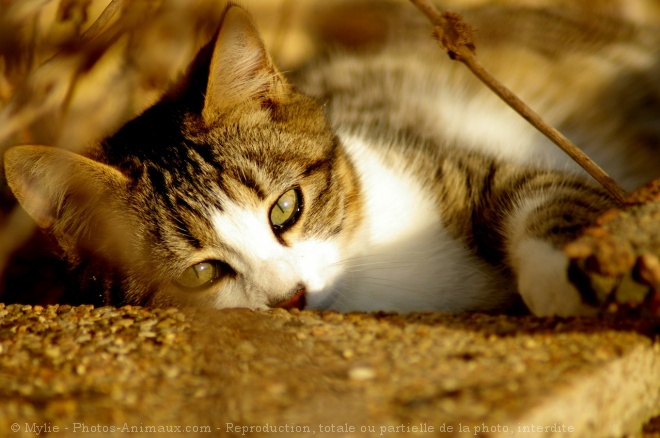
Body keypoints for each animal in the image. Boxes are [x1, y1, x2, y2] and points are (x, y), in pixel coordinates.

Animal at [1, 0, 660, 314]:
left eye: (284, 208)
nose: (290, 297)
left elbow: (549, 198)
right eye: (200, 274)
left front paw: (578, 280)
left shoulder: (464, 165)